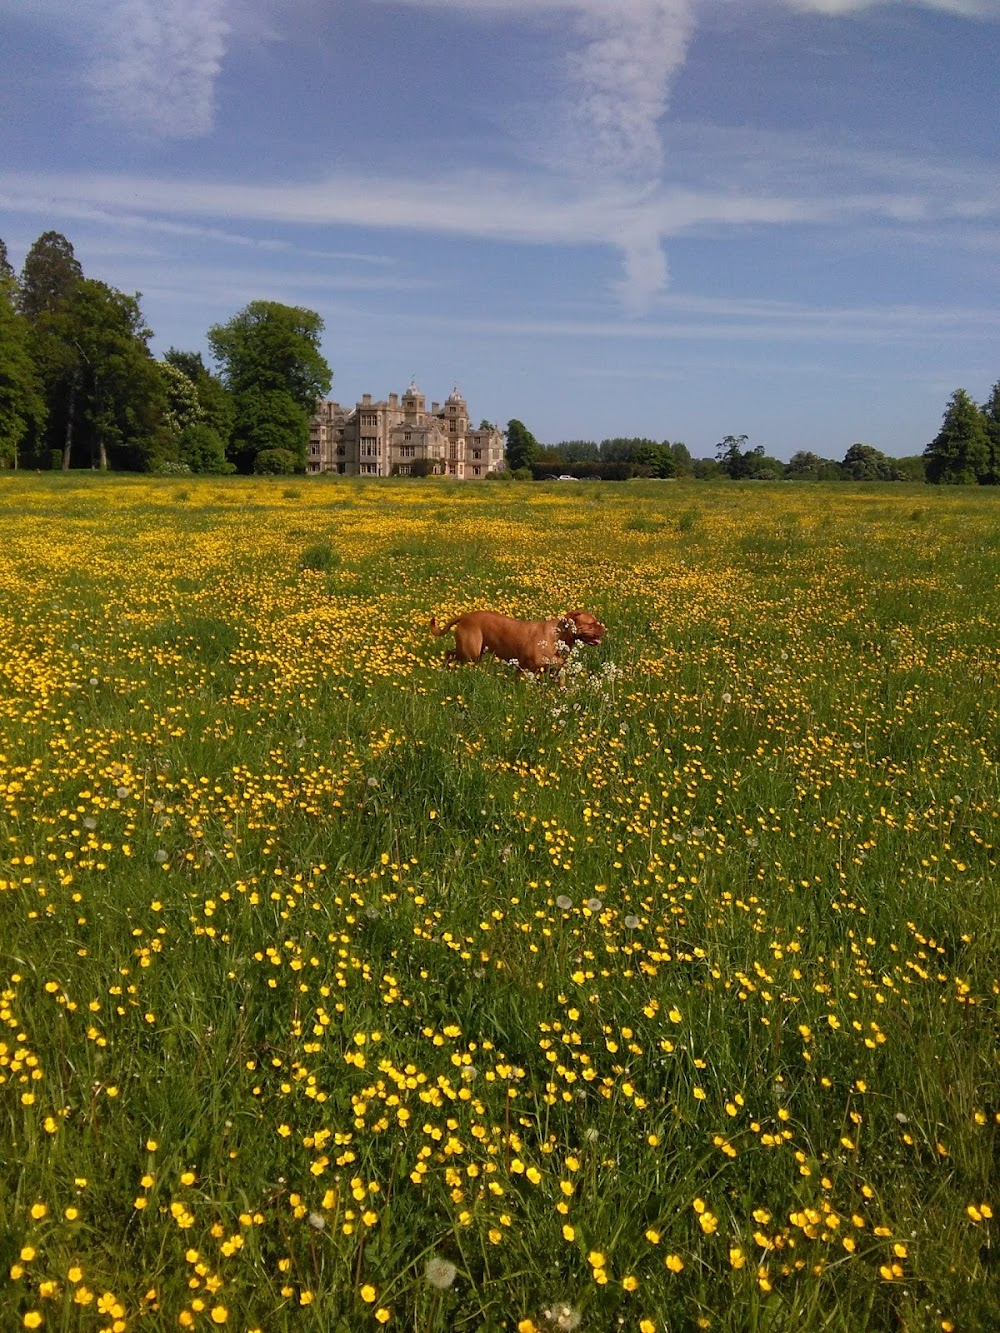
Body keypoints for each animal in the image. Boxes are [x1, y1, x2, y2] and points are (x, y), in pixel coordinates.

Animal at [429, 613, 608, 677]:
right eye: (592, 623)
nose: (604, 628)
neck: (558, 638)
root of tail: (465, 616)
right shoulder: (524, 669)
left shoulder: (556, 672)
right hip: (469, 653)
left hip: (472, 653)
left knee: (449, 653)